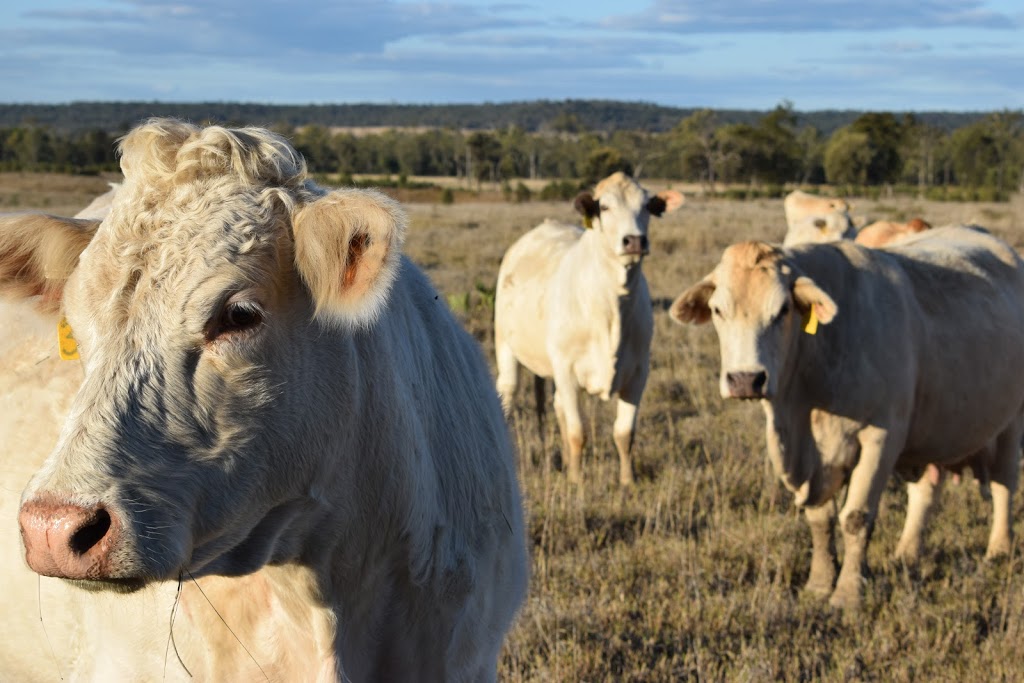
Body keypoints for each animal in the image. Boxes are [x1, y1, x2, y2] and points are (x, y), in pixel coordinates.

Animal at [493, 175, 679, 485]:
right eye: (604, 206)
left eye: (647, 206)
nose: (634, 241)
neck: (612, 307)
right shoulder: (567, 371)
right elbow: (577, 432)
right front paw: (577, 481)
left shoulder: (639, 373)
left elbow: (624, 433)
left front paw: (627, 481)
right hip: (506, 346)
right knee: (508, 391)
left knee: (556, 406)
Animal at [667, 228, 1024, 610]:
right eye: (718, 310)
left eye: (782, 310)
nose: (746, 379)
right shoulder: (810, 457)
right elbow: (820, 518)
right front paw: (820, 582)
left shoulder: (881, 438)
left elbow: (856, 516)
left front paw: (849, 592)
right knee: (926, 490)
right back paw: (907, 552)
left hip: (1010, 424)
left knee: (1003, 484)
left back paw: (999, 549)